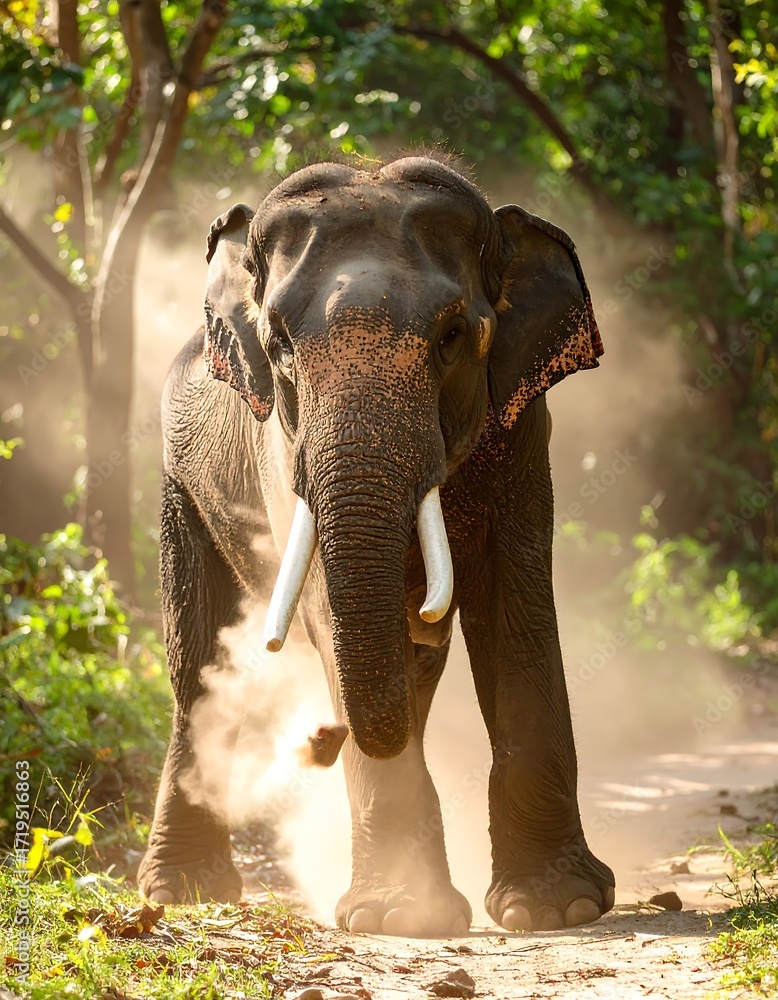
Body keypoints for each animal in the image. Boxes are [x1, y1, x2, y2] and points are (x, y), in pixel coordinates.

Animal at [137, 153, 615, 936]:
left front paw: (558, 908)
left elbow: (515, 613)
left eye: (452, 336)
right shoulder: (280, 449)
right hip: (183, 487)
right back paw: (185, 891)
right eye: (278, 345)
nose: (317, 740)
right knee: (198, 661)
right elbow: (329, 611)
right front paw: (405, 917)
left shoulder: (522, 428)